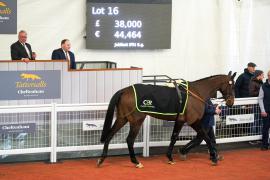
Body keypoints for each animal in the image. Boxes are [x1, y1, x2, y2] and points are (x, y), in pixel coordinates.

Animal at [97, 71, 236, 167]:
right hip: (136, 121)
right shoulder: (193, 121)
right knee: (129, 140)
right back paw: (136, 162)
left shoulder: (180, 120)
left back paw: (102, 159)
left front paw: (170, 157)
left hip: (122, 118)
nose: (231, 102)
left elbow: (174, 137)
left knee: (110, 135)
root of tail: (124, 90)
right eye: (232, 85)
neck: (196, 92)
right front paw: (213, 157)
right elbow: (205, 136)